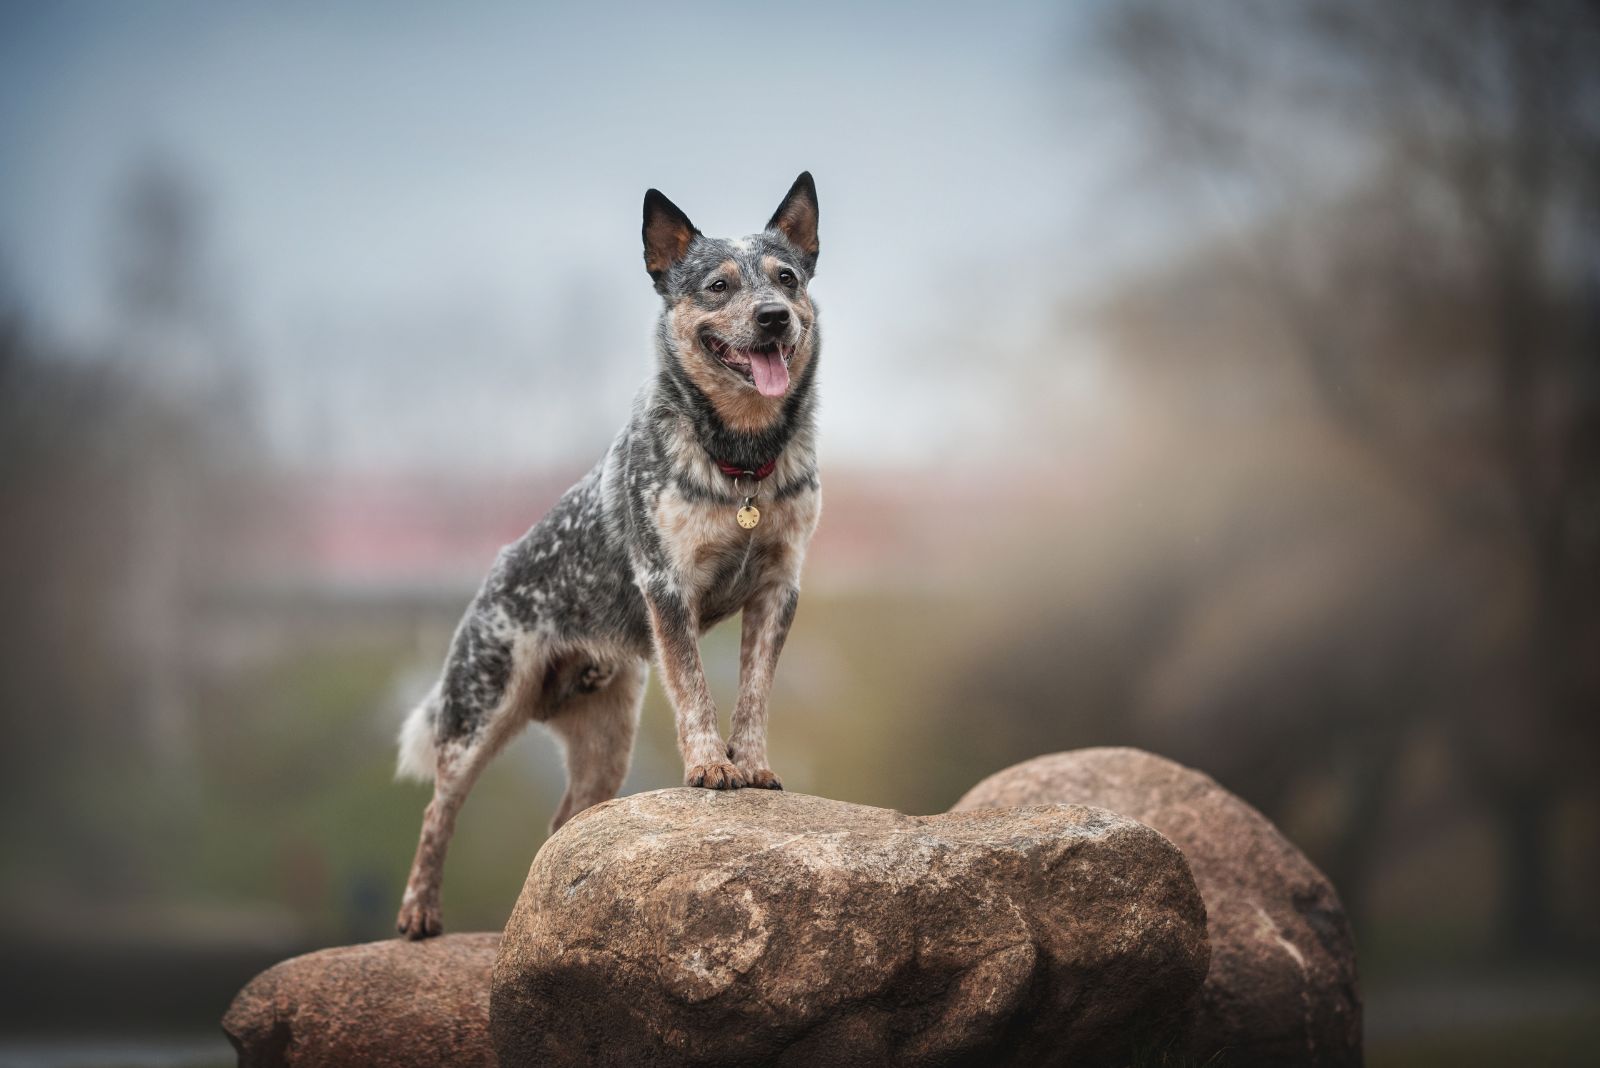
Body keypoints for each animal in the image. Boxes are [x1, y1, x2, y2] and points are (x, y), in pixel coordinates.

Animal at [395, 171, 825, 940]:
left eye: (786, 277)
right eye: (717, 285)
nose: (775, 317)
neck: (743, 459)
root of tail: (490, 577)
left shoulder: (780, 588)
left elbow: (753, 694)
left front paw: (752, 765)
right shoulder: (667, 584)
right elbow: (696, 691)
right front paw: (710, 767)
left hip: (606, 742)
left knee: (565, 824)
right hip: (479, 712)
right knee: (438, 810)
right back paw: (419, 910)